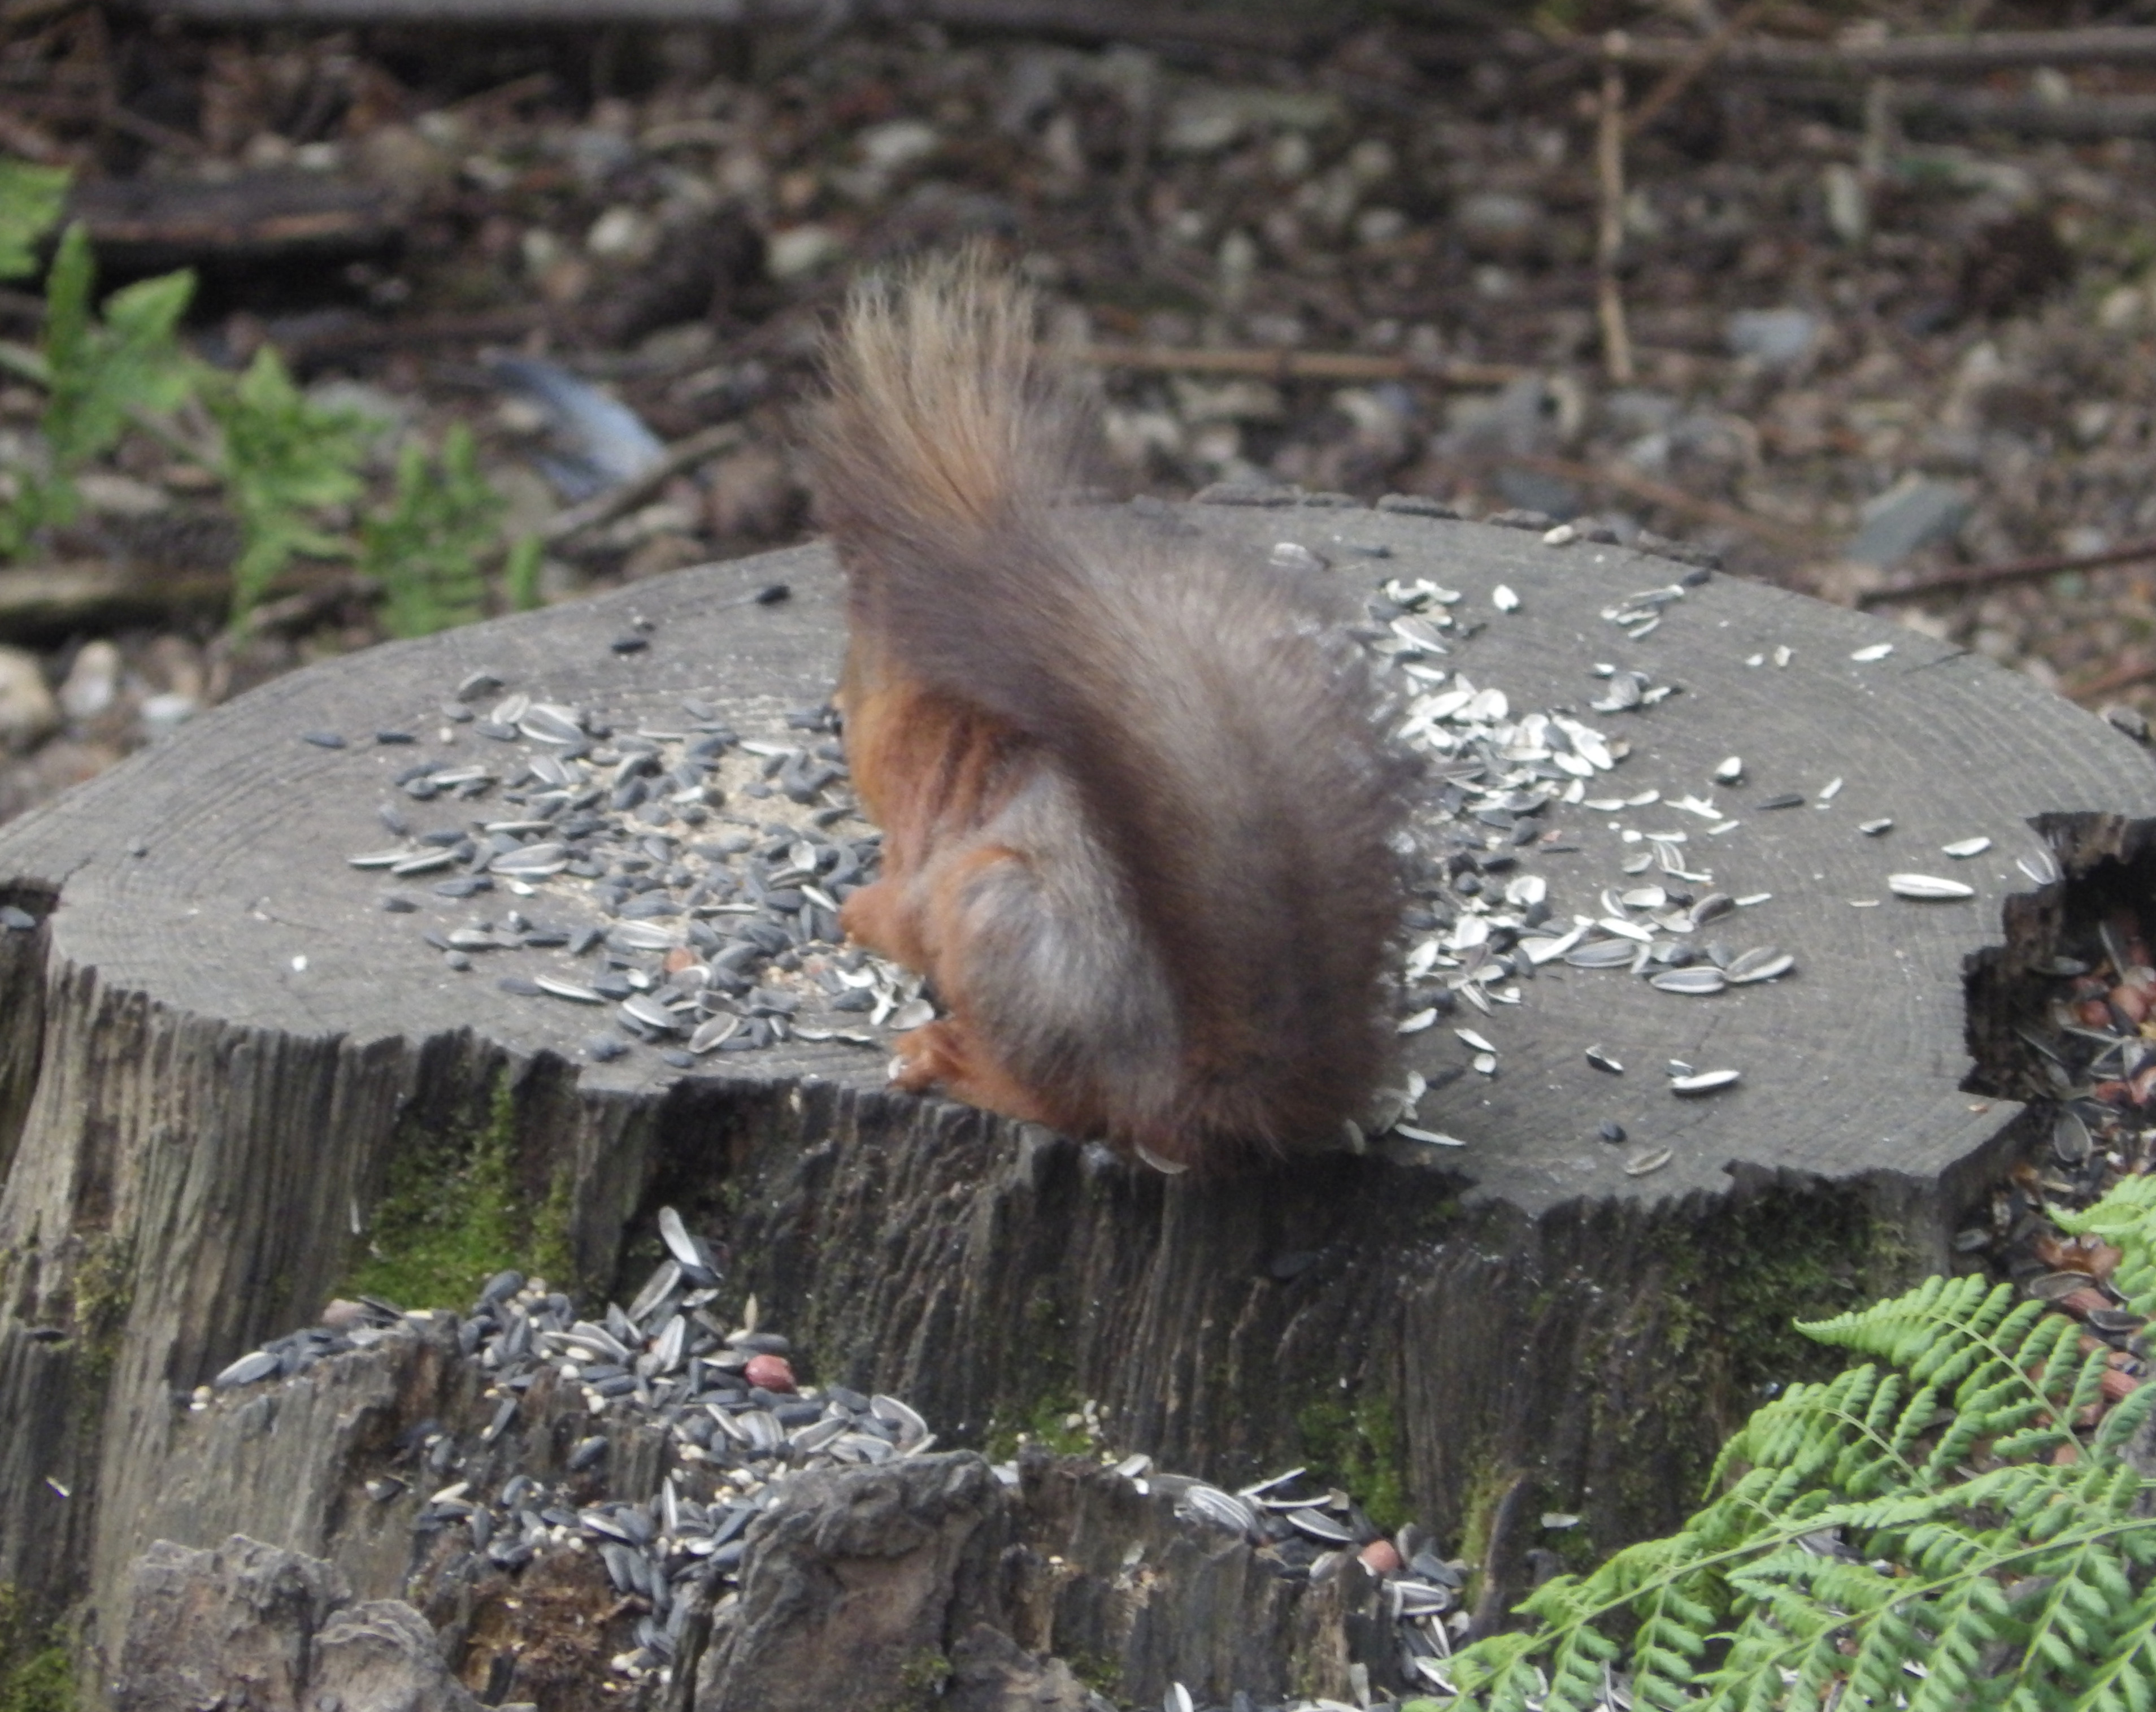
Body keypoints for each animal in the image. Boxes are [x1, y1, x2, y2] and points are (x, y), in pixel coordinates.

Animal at [811, 252, 1411, 1172]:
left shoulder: (931, 851)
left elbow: (903, 916)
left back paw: (952, 1060)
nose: (832, 714)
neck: (964, 739)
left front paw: (857, 910)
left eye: (851, 720)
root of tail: (1190, 1086)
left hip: (994, 911)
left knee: (1065, 1104)